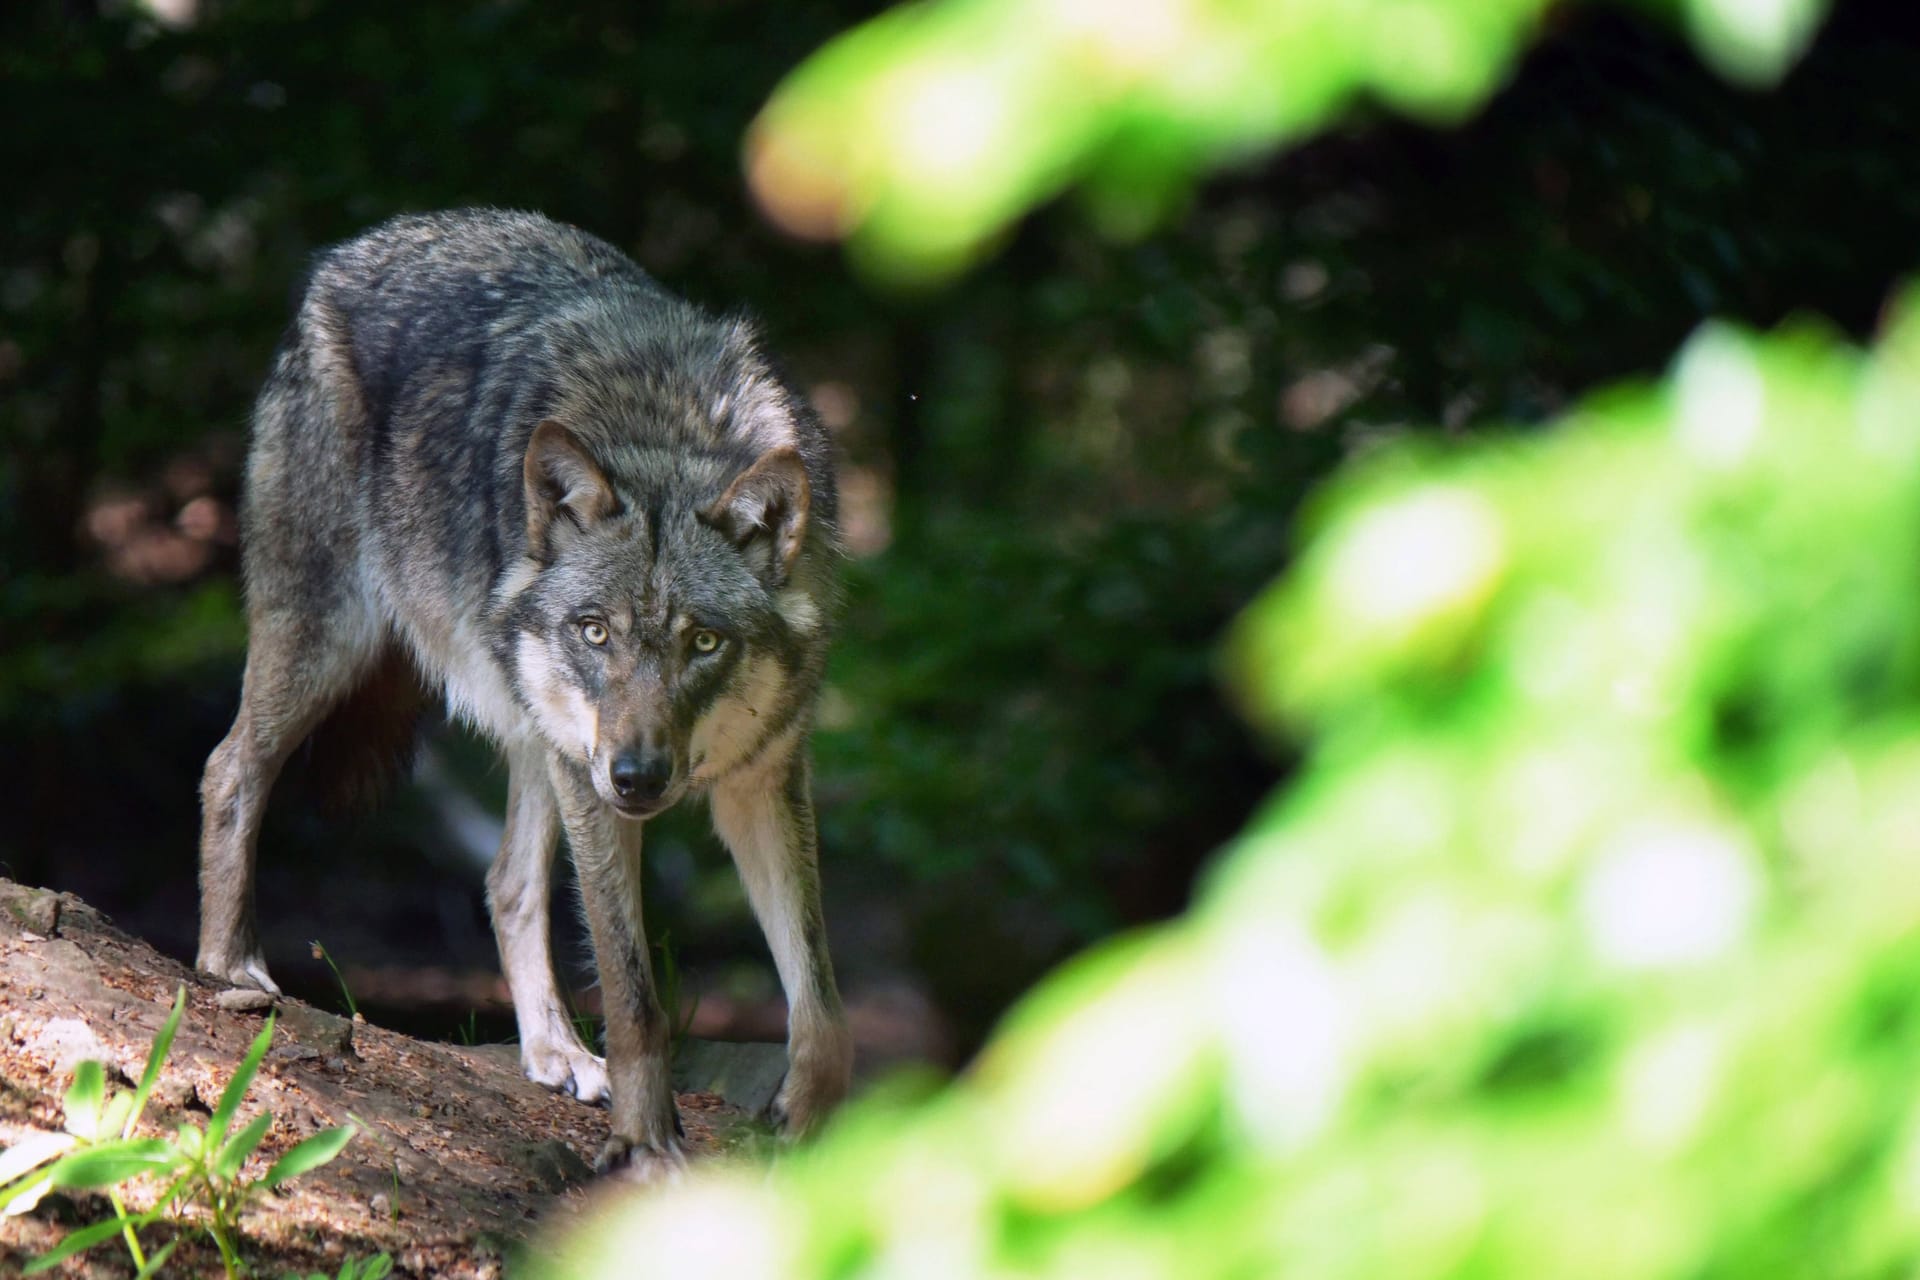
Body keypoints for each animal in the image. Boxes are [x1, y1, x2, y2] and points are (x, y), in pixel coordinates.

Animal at [198, 210, 852, 1182]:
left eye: (703, 642)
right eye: (595, 631)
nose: (639, 778)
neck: (666, 434)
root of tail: (351, 251)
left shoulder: (760, 780)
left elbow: (821, 1000)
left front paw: (807, 1129)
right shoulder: (596, 782)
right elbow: (634, 994)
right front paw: (646, 1145)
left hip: (542, 734)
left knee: (506, 881)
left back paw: (554, 1054)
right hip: (334, 645)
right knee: (229, 768)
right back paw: (228, 966)